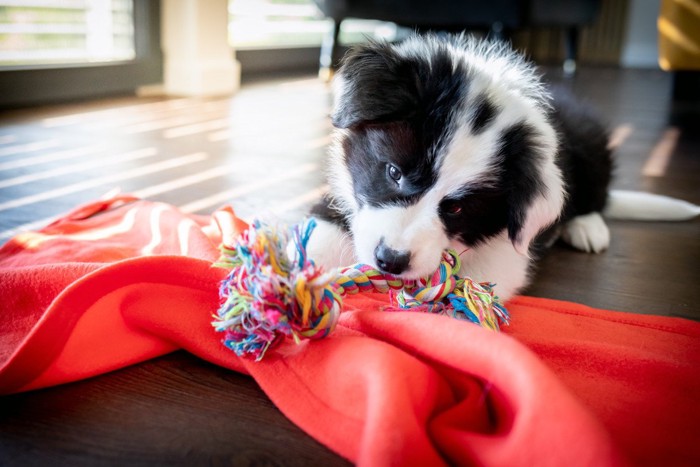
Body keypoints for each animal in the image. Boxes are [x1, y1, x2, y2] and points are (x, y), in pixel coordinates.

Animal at [308, 34, 612, 302]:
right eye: (394, 173)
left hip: (590, 143)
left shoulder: (505, 253)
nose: (390, 260)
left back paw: (588, 227)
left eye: (456, 208)